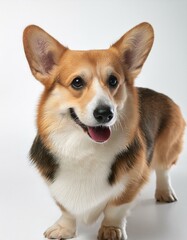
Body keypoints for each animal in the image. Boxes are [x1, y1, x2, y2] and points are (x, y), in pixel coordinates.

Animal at [22, 23, 185, 240]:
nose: (105, 113)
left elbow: (115, 207)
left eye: (113, 81)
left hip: (168, 147)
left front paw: (111, 229)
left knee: (163, 169)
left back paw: (165, 192)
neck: (85, 150)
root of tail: (162, 95)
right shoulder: (56, 186)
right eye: (77, 82)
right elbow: (66, 209)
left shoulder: (132, 181)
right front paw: (64, 228)